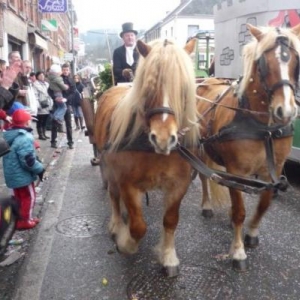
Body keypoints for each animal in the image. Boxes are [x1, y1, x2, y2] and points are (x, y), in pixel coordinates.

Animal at [93, 38, 202, 278]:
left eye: (183, 88)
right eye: (149, 88)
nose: (163, 139)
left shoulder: (179, 185)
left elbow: (170, 220)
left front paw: (168, 256)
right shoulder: (127, 184)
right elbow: (138, 226)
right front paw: (125, 244)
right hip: (109, 168)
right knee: (114, 196)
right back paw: (116, 225)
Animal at [196, 24, 300, 272]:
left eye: (296, 61)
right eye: (263, 63)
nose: (286, 111)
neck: (264, 128)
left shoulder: (273, 170)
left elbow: (263, 204)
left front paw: (251, 233)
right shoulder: (237, 170)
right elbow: (240, 211)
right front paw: (238, 251)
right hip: (199, 149)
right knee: (205, 178)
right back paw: (207, 206)